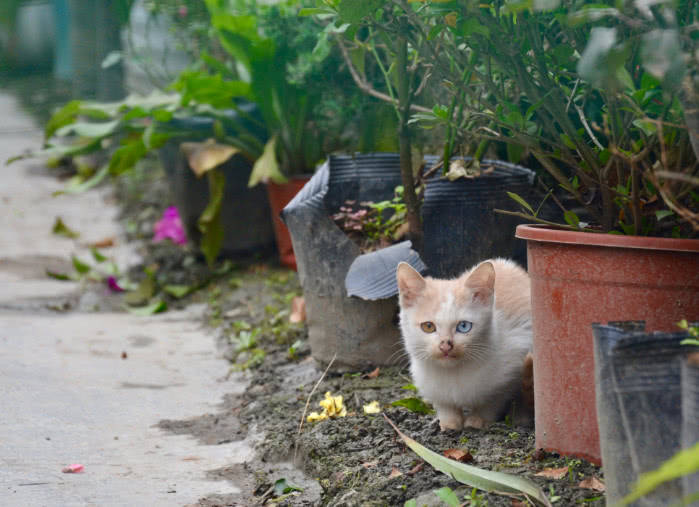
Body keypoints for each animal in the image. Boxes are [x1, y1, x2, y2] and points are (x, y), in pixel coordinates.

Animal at [396, 260, 532, 430]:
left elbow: (492, 401)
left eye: (464, 326)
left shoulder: (511, 370)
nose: (445, 345)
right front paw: (449, 423)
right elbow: (444, 403)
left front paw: (477, 420)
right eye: (428, 326)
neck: (454, 373)